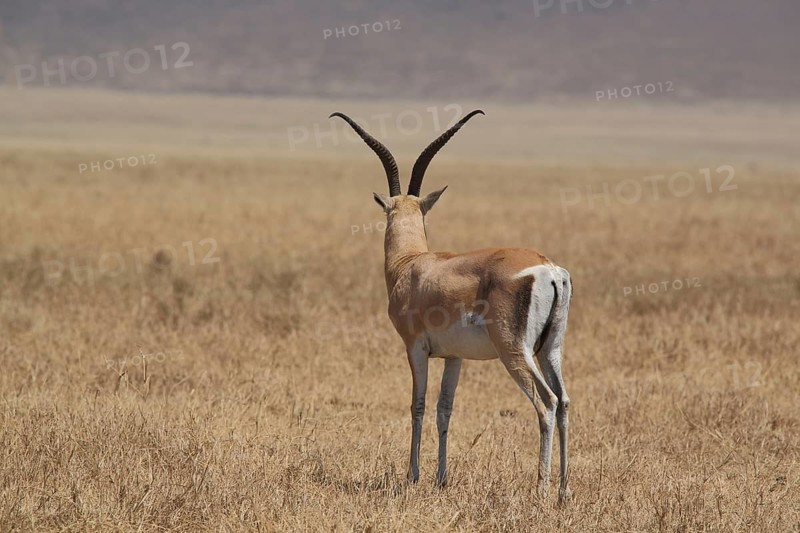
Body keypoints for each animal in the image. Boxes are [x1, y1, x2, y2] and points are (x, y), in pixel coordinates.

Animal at [330, 110, 573, 502]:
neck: (410, 265)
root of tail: (549, 269)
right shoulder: (454, 357)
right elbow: (445, 409)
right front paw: (441, 478)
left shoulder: (415, 347)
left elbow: (418, 404)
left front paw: (412, 476)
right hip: (550, 348)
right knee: (564, 400)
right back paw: (564, 492)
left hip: (514, 351)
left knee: (547, 401)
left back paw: (540, 489)